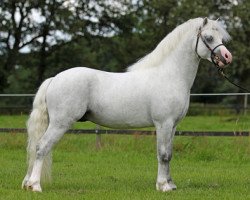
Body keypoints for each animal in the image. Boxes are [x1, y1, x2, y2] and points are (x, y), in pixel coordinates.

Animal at [22, 17, 232, 192]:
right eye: (208, 37)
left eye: (221, 37)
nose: (227, 57)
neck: (170, 75)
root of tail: (55, 78)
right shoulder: (163, 124)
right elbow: (163, 154)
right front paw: (163, 186)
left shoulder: (173, 126)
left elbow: (169, 154)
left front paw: (170, 184)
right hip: (60, 124)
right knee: (41, 147)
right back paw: (35, 185)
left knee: (36, 148)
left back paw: (28, 183)